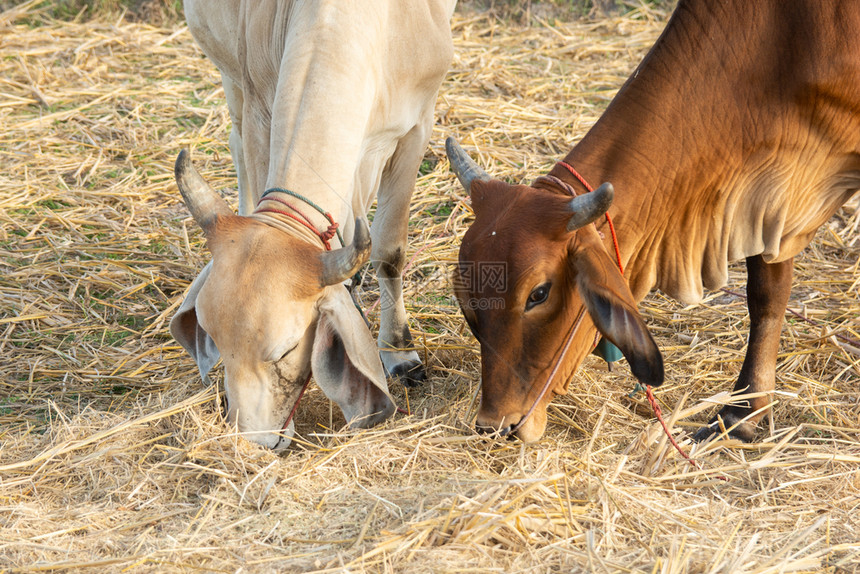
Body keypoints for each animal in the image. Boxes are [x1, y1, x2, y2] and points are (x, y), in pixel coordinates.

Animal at [173, 0, 456, 450]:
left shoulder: (416, 128)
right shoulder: (259, 109)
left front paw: (399, 352)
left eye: (286, 352)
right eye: (214, 339)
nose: (254, 442)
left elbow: (389, 253)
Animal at [446, 0, 856, 446]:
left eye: (538, 293)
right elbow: (766, 293)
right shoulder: (770, 194)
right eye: (467, 300)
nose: (494, 426)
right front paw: (745, 410)